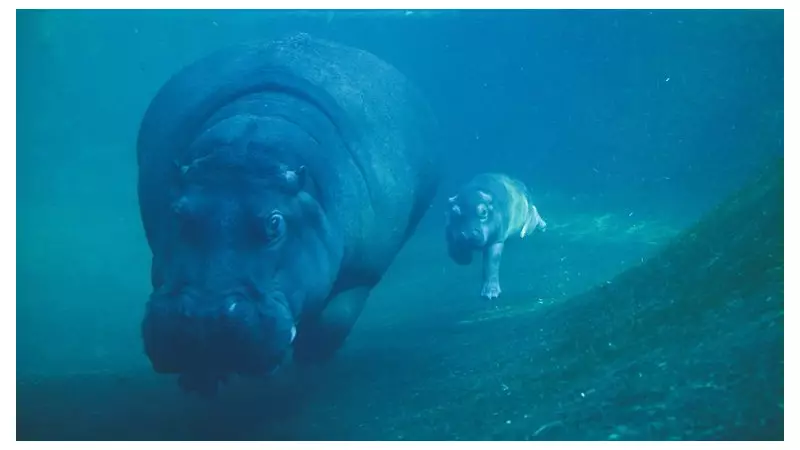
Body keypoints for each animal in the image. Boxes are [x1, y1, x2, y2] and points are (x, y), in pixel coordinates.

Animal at [135, 33, 440, 396]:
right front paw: (201, 380)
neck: (250, 148)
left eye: (275, 223)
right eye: (179, 213)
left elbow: (334, 321)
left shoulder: (363, 270)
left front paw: (308, 363)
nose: (203, 319)